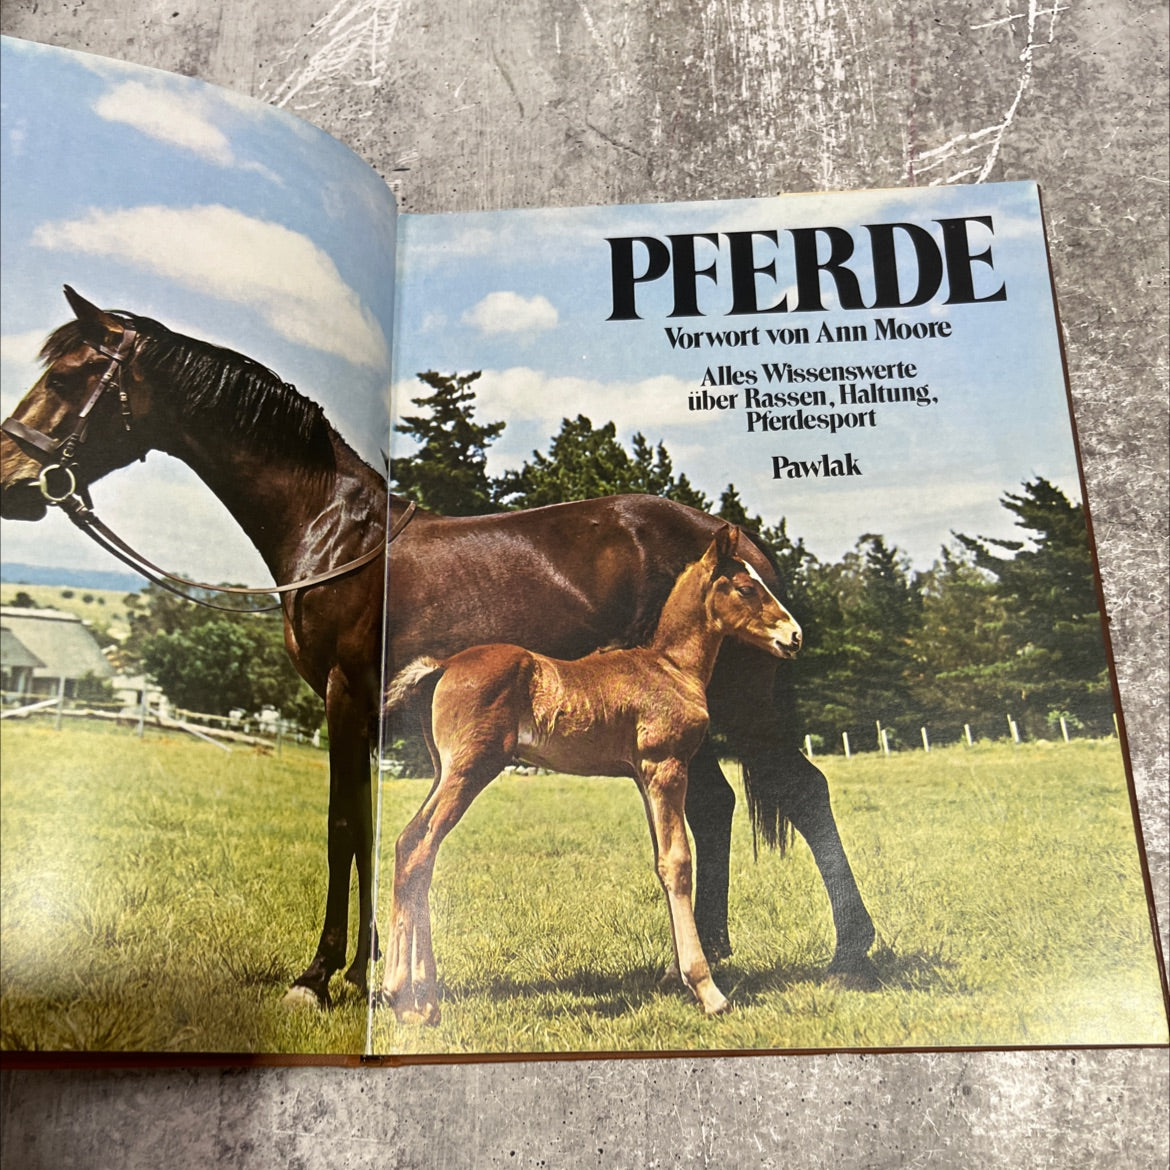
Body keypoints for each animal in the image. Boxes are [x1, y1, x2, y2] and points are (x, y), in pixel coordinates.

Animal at [380, 525, 801, 1023]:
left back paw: (422, 1001)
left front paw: (677, 978)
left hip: (444, 771)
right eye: (746, 588)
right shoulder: (666, 767)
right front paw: (707, 990)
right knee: (419, 848)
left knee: (412, 846)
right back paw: (404, 995)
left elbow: (660, 862)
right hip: (470, 769)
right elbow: (678, 863)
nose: (794, 636)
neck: (671, 667)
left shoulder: (643, 777)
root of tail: (443, 667)